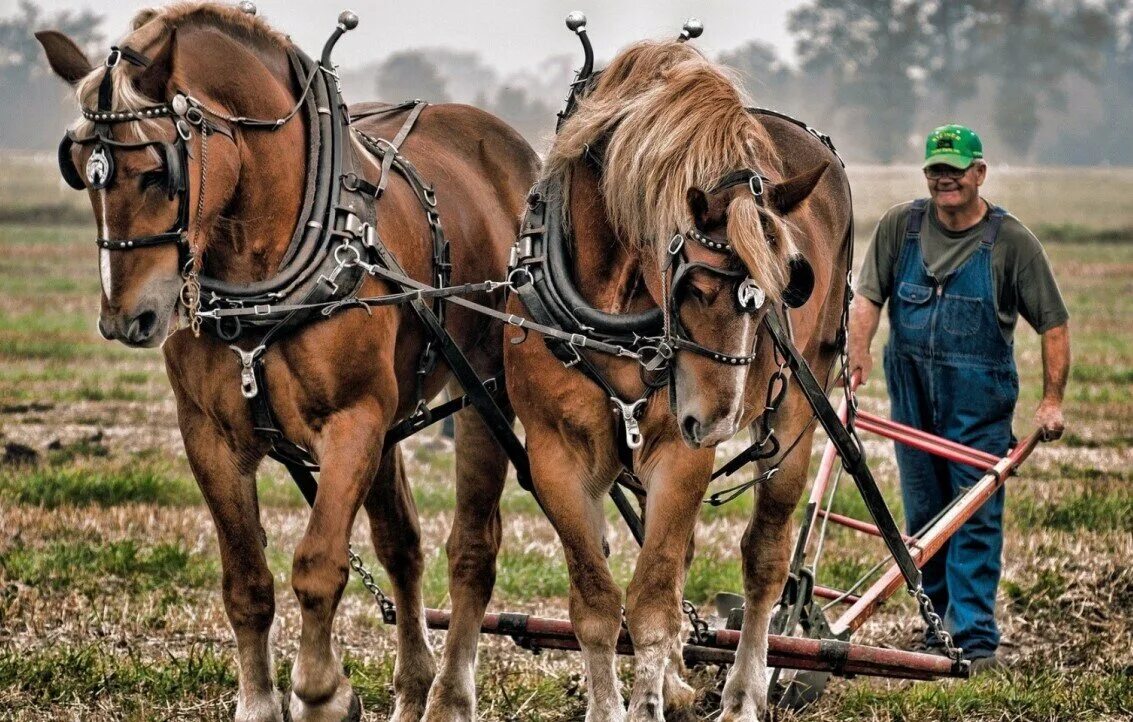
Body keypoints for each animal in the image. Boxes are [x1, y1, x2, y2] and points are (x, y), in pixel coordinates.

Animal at [37, 2, 541, 716]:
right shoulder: (210, 437)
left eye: (158, 170)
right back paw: (413, 688)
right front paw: (258, 701)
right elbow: (246, 581)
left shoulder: (353, 421)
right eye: (80, 169)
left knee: (472, 549)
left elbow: (319, 563)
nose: (124, 319)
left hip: (484, 395)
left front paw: (322, 691)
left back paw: (449, 696)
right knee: (402, 544)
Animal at [505, 40, 852, 720]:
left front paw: (646, 705)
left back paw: (743, 693)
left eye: (786, 283)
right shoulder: (553, 453)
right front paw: (616, 703)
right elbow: (598, 601)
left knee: (765, 559)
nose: (715, 421)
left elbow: (651, 603)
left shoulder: (679, 451)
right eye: (695, 286)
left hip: (798, 412)